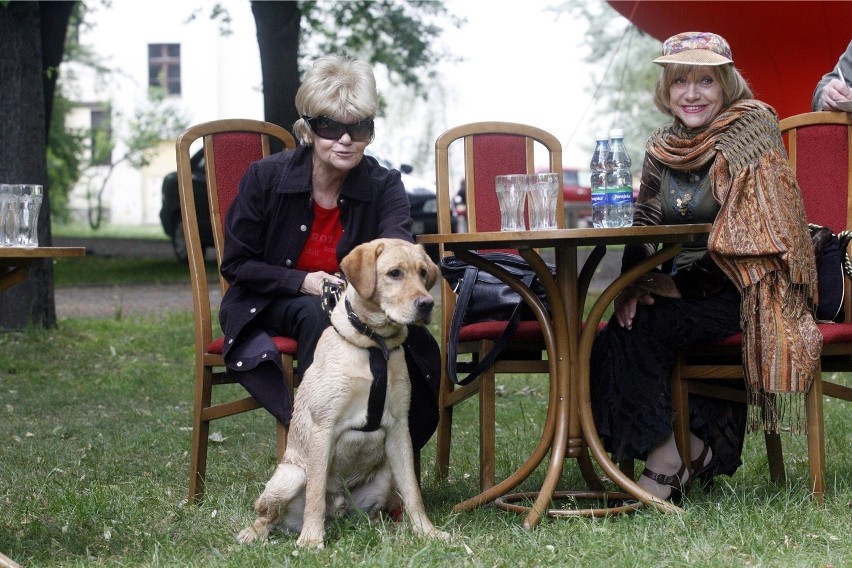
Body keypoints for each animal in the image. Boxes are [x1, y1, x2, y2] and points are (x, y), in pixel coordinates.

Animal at [233, 237, 446, 548]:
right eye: (394, 273)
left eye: (422, 273)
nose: (426, 304)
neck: (374, 347)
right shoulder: (324, 427)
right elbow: (315, 493)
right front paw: (311, 540)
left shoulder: (398, 428)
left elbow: (412, 491)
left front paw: (426, 532)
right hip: (291, 475)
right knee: (268, 515)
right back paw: (256, 532)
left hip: (383, 479)